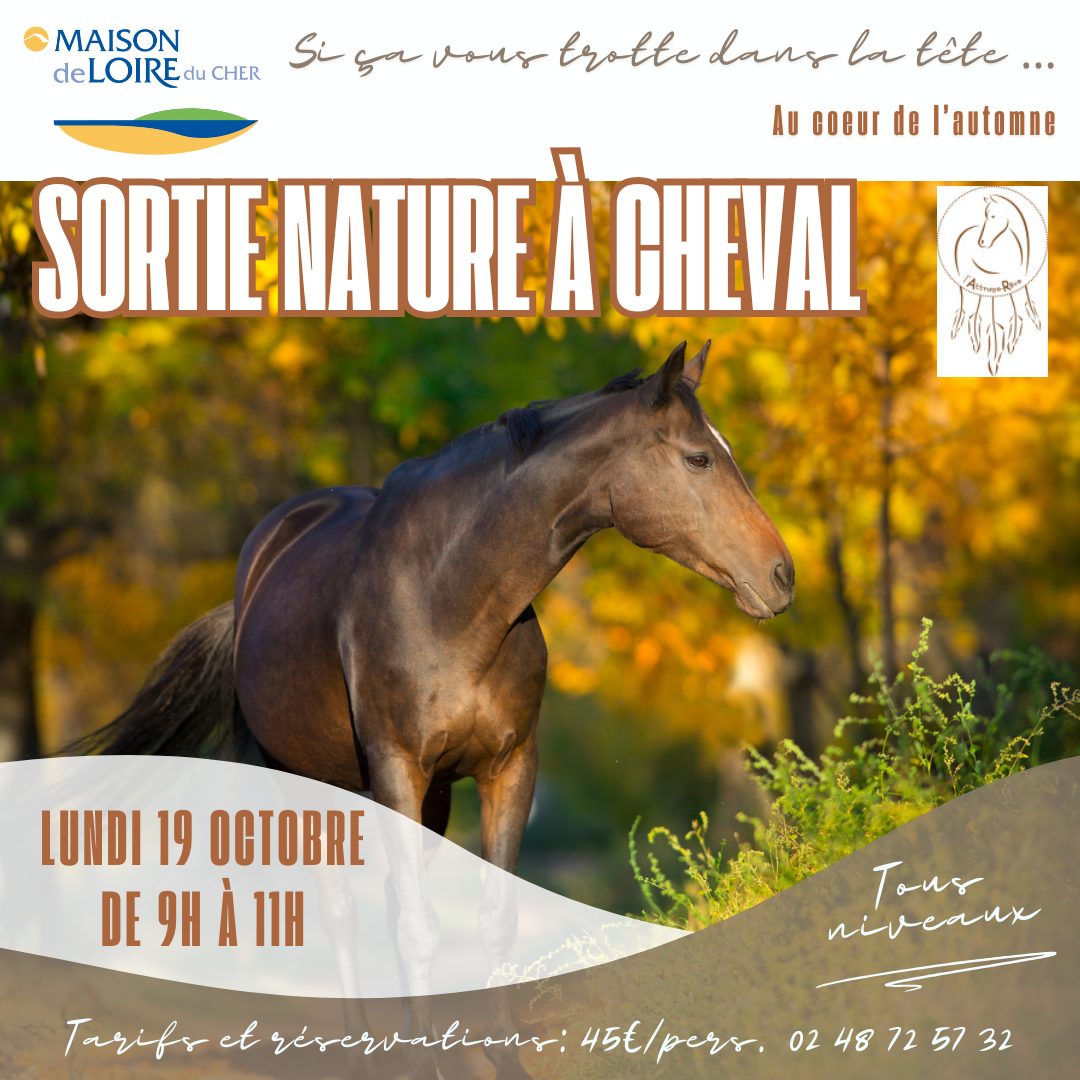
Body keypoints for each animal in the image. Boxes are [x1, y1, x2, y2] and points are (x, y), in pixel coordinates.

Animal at [69, 340, 794, 1076]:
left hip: (430, 796)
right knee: (337, 910)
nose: (781, 576)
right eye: (698, 458)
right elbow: (416, 925)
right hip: (306, 780)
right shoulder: (397, 767)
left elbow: (492, 918)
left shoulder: (508, 768)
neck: (450, 595)